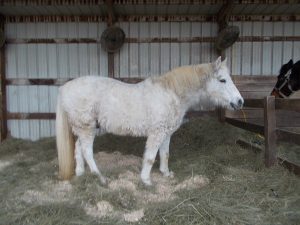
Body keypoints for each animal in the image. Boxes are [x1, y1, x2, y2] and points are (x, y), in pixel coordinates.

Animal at [56, 56, 244, 185]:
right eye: (222, 80)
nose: (240, 102)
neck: (171, 93)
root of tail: (65, 88)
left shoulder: (166, 133)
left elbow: (165, 154)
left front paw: (166, 174)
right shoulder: (156, 133)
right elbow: (150, 157)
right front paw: (146, 180)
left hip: (87, 129)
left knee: (78, 148)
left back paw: (80, 173)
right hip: (86, 128)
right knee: (87, 151)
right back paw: (100, 177)